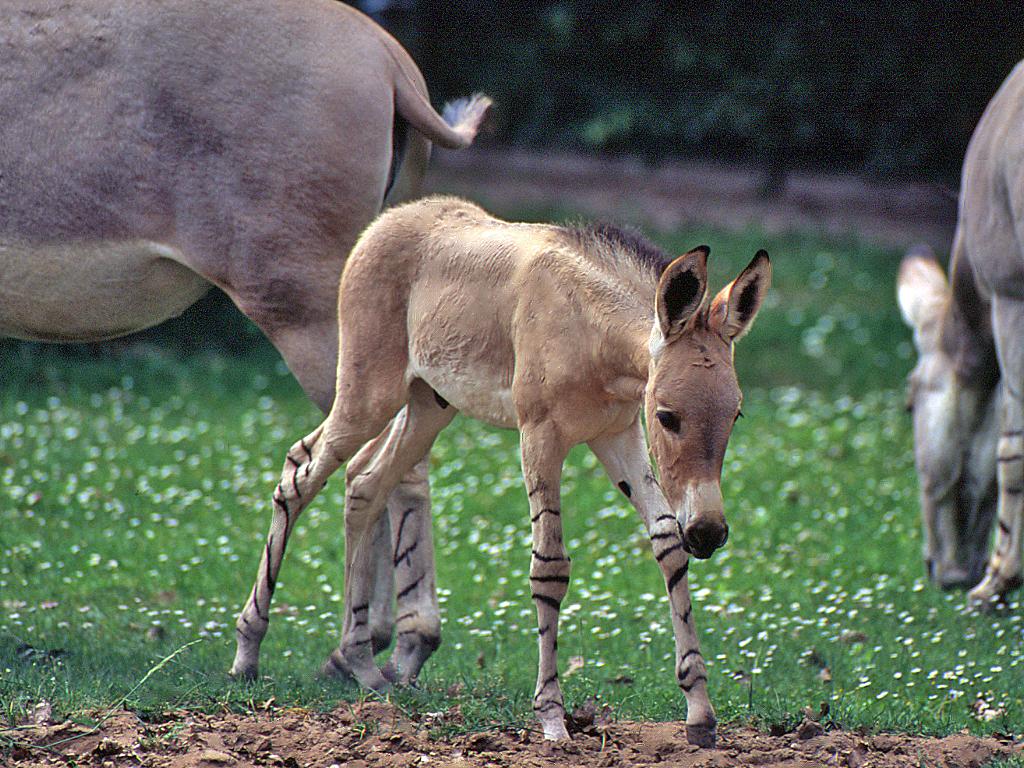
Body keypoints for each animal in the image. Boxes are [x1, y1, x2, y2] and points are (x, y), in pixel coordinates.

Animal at [234, 196, 770, 745]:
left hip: (430, 404)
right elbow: (549, 567)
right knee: (300, 474)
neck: (586, 328)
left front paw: (699, 713)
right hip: (367, 394)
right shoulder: (540, 437)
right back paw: (247, 655)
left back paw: (361, 665)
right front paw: (552, 718)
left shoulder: (616, 436)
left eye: (736, 416)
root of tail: (391, 218)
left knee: (365, 483)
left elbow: (666, 542)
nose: (709, 533)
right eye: (667, 416)